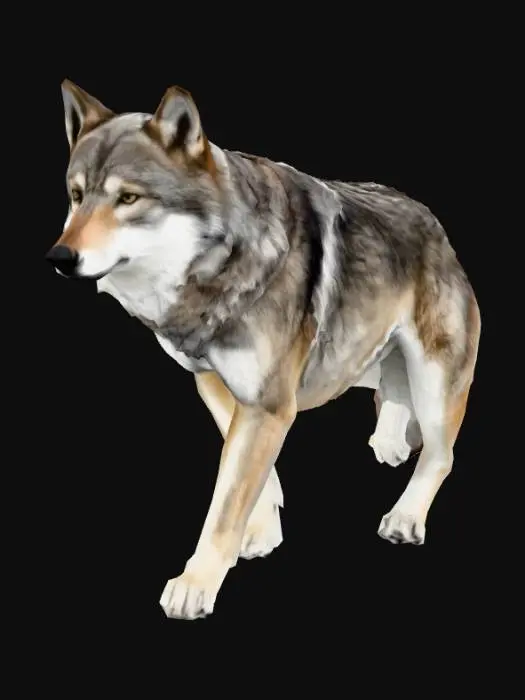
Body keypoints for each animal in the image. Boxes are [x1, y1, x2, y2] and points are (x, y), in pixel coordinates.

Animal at [46, 81, 481, 620]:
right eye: (76, 196)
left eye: (128, 198)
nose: (60, 257)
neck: (217, 270)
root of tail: (435, 226)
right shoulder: (216, 385)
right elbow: (256, 480)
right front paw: (262, 533)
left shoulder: (269, 405)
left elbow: (226, 502)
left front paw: (196, 585)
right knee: (392, 398)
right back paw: (388, 443)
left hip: (435, 383)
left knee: (442, 456)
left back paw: (404, 517)